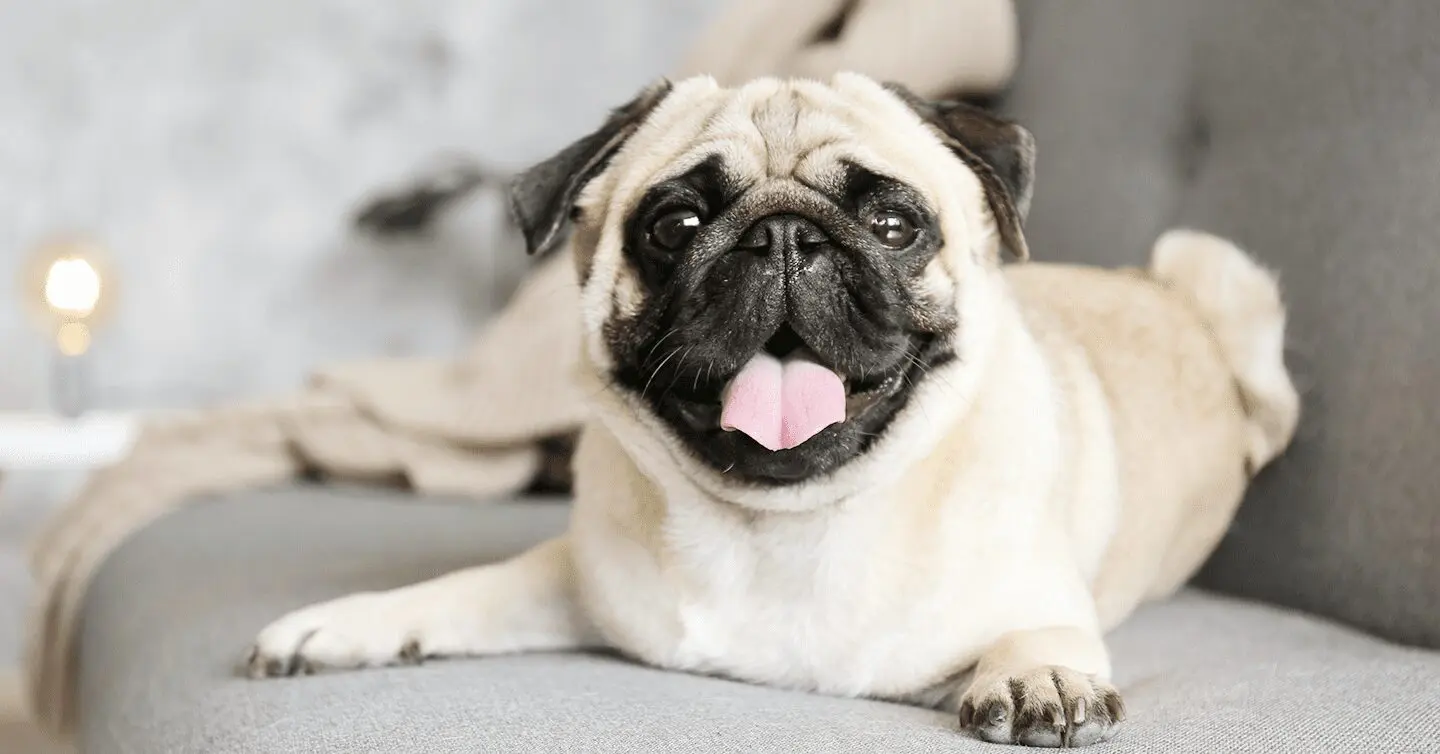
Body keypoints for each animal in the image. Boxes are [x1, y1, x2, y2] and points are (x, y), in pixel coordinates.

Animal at [250, 73, 1307, 742]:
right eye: (675, 224)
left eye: (894, 224)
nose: (786, 237)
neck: (780, 526)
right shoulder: (575, 583)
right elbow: (460, 591)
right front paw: (343, 625)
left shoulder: (1032, 601)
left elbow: (1040, 632)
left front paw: (1037, 675)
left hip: (1226, 280)